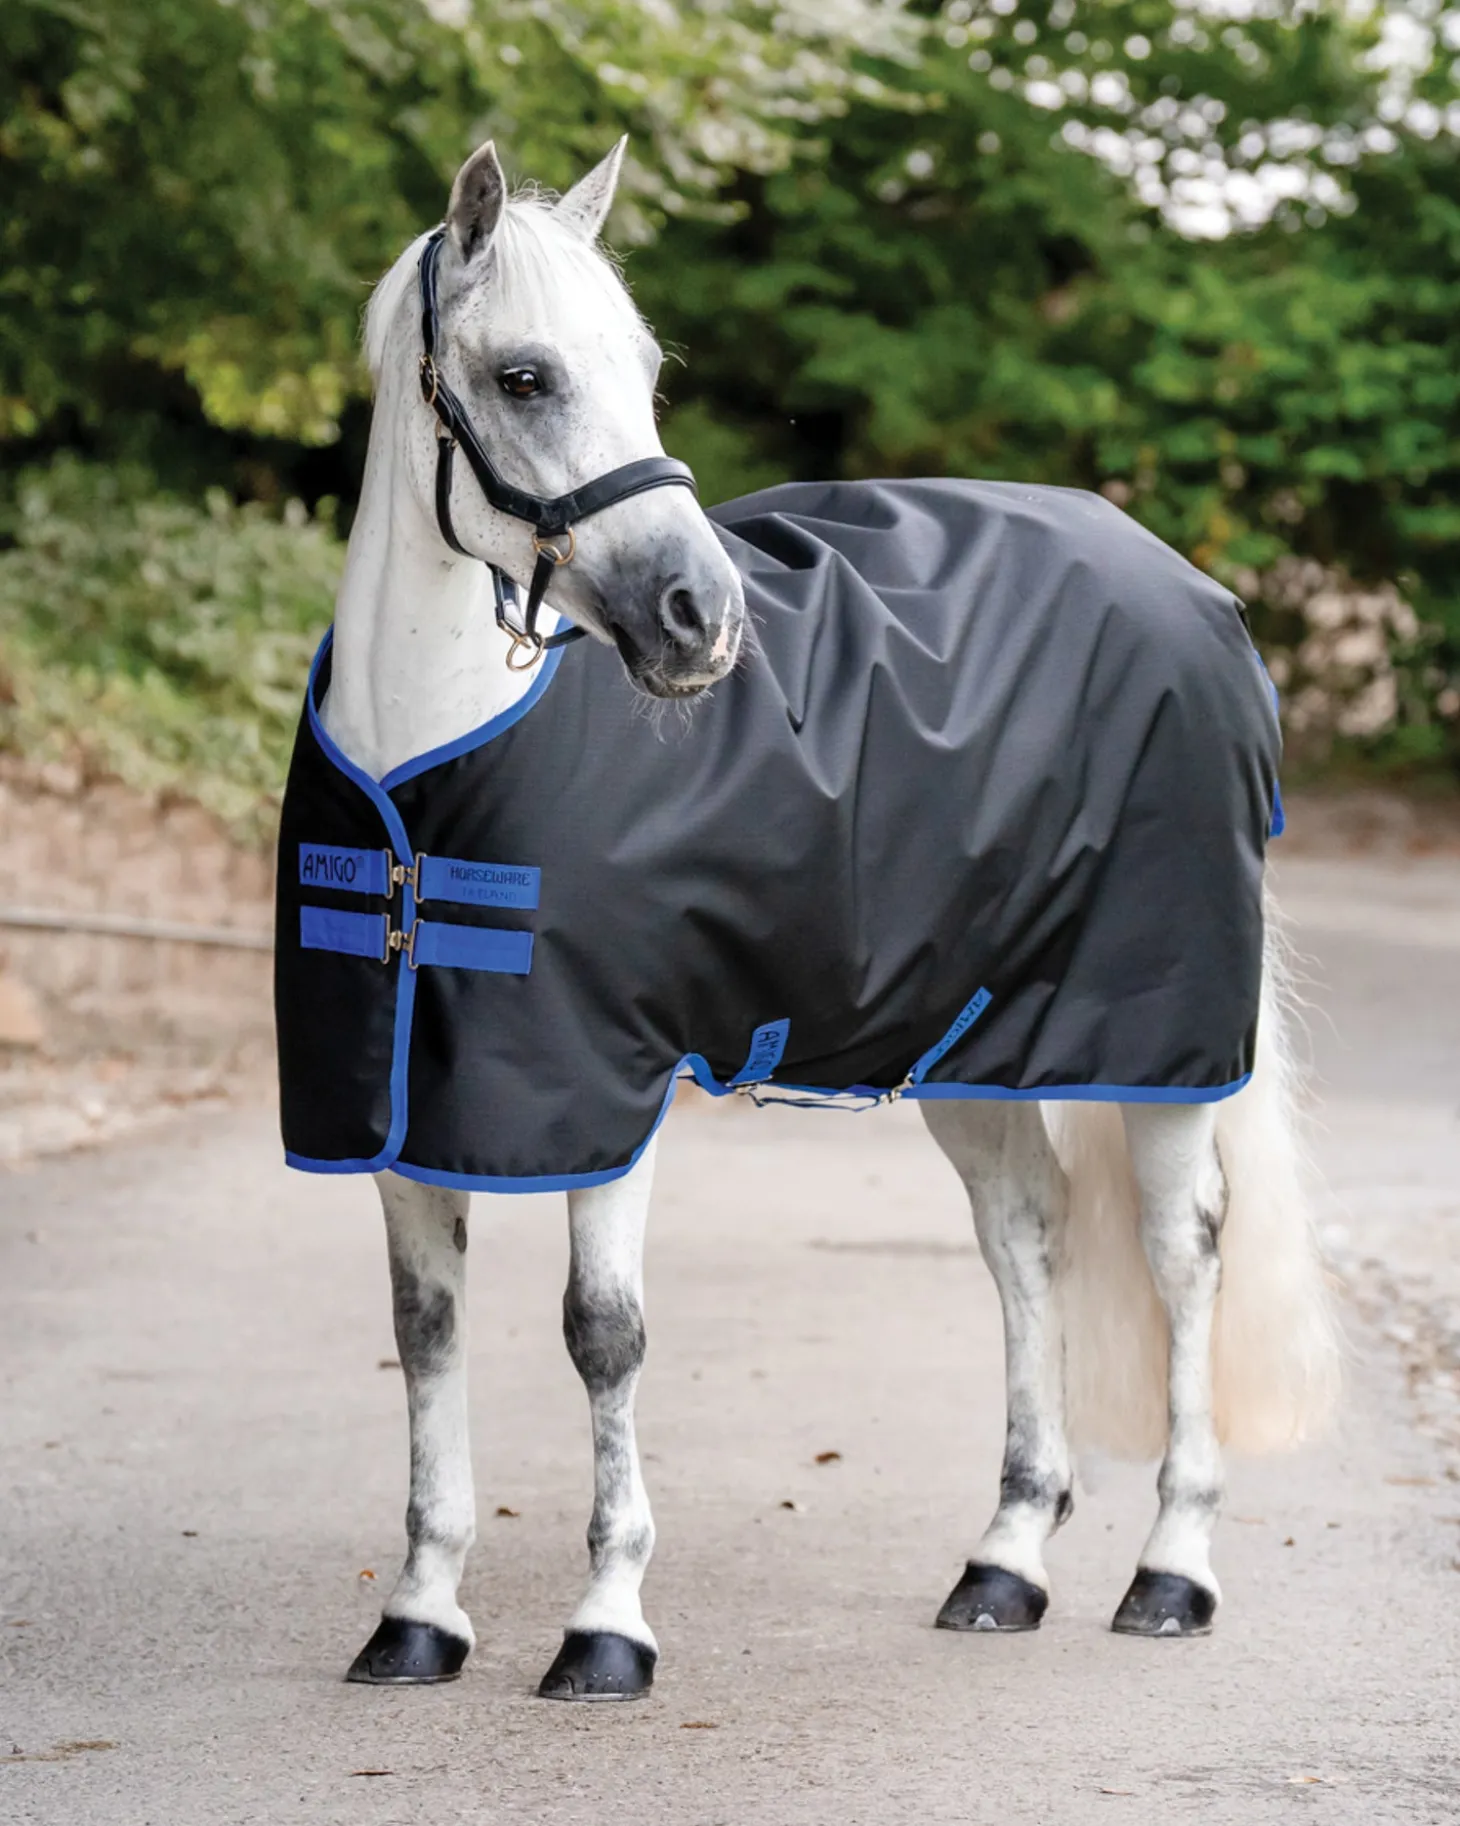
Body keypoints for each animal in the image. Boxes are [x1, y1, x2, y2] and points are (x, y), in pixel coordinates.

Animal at [280, 137, 1339, 1701]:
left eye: (646, 367)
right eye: (526, 375)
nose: (700, 617)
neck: (430, 770)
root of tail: (1195, 592)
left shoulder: (613, 1090)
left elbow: (602, 1334)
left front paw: (607, 1624)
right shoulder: (406, 1105)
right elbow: (426, 1335)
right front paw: (418, 1613)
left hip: (1159, 1042)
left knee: (1181, 1248)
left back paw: (1170, 1569)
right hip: (973, 1044)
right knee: (1025, 1235)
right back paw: (1004, 1562)